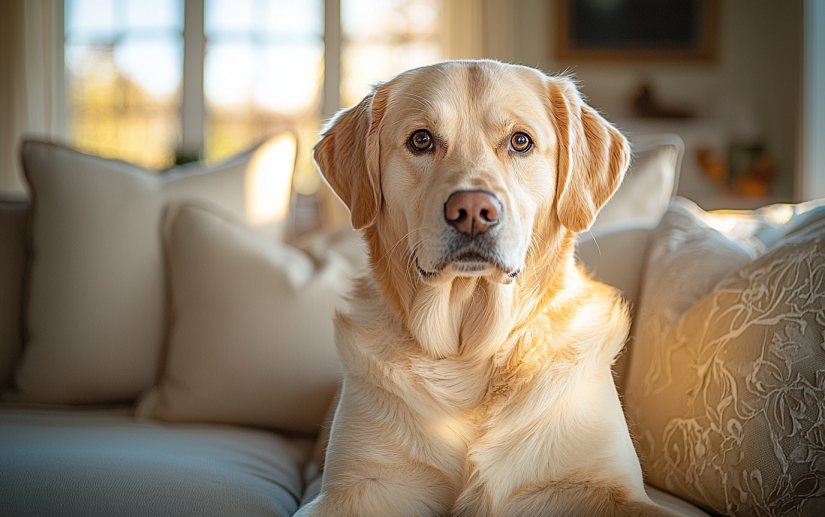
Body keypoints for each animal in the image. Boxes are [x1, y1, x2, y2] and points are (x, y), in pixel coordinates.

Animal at [296, 60, 676, 516]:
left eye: (520, 141)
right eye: (421, 139)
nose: (474, 211)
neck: (470, 354)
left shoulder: (610, 487)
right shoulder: (355, 487)